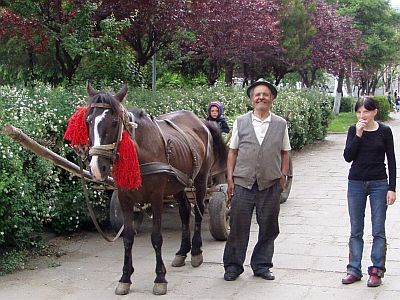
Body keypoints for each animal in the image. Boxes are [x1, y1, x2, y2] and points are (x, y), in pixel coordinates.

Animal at [83, 83, 228, 294]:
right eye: (88, 121)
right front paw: (125, 277)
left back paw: (195, 252)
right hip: (179, 185)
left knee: (200, 211)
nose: (96, 167)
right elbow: (128, 237)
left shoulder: (157, 197)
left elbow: (156, 237)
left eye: (114, 122)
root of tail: (201, 122)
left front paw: (160, 278)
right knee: (185, 212)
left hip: (201, 180)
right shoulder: (125, 198)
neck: (139, 152)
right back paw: (182, 252)